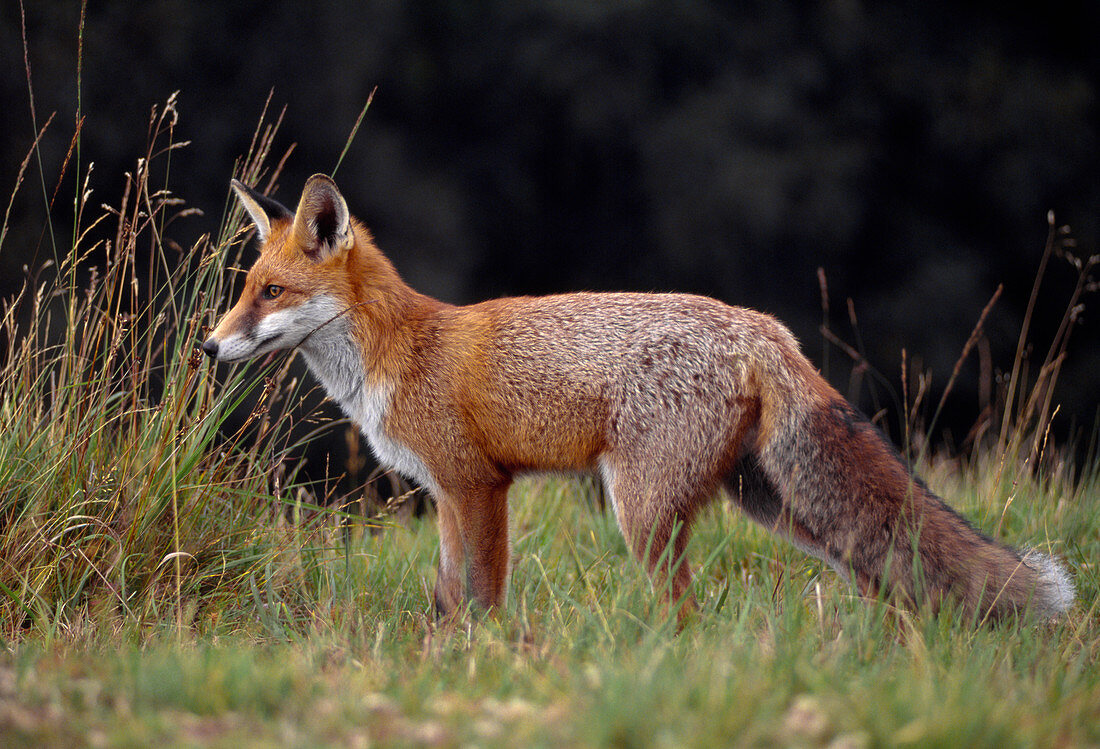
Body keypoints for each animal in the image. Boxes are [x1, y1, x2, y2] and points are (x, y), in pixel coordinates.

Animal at [204, 173, 1073, 620]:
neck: (403, 352)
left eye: (272, 293)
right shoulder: (447, 492)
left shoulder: (477, 486)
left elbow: (483, 596)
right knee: (886, 576)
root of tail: (761, 325)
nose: (209, 346)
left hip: (644, 509)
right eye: (244, 289)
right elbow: (449, 596)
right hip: (777, 505)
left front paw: (485, 662)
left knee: (685, 612)